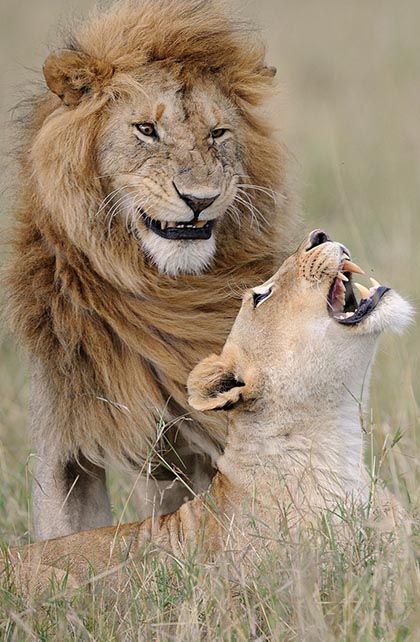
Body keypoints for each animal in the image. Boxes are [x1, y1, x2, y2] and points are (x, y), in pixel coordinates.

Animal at [5, 0, 296, 541]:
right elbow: (63, 537)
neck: (164, 290)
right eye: (146, 130)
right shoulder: (64, 443)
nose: (199, 199)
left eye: (217, 133)